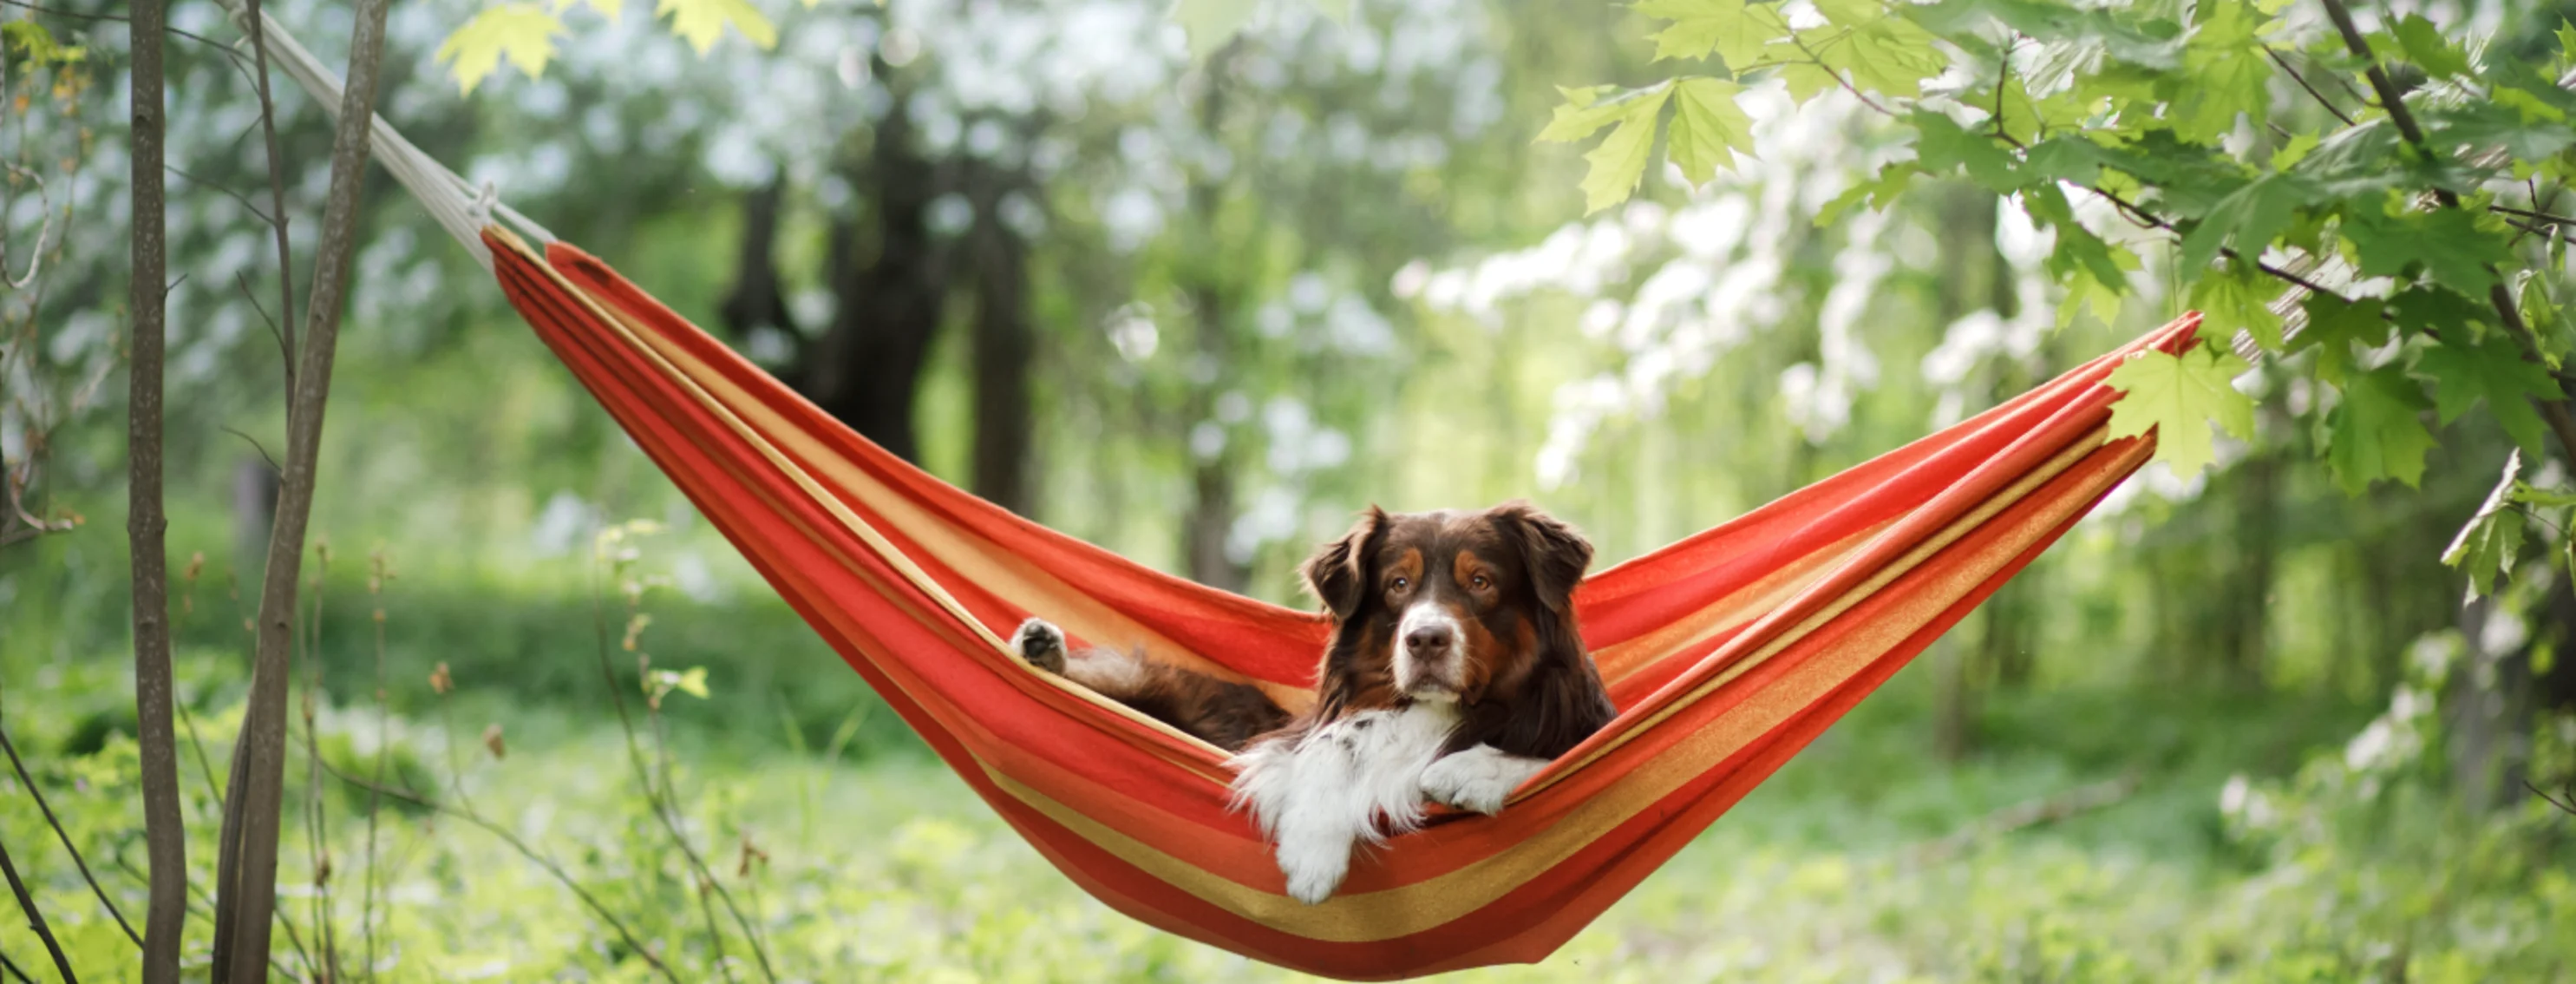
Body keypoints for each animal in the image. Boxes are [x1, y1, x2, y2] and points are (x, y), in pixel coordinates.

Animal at [1004, 502, 1607, 902]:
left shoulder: (1575, 728)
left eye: (1481, 581)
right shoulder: (1289, 739)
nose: (1425, 640)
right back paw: (1042, 648)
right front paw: (1312, 854)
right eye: (1398, 584)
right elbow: (1331, 748)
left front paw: (1470, 771)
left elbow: (1542, 753)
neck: (1439, 709)